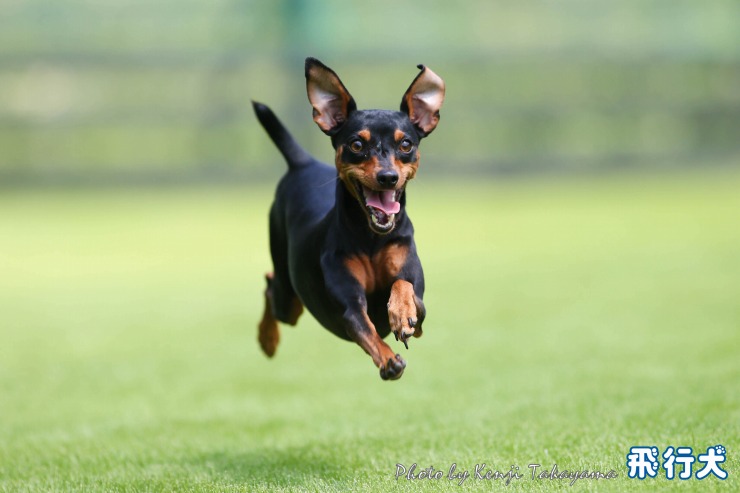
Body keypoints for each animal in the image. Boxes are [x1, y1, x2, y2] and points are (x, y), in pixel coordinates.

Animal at [253, 58, 446, 380]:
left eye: (406, 144)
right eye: (357, 144)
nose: (387, 177)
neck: (371, 238)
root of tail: (302, 163)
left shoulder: (419, 302)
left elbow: (403, 287)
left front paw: (400, 312)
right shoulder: (349, 306)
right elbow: (366, 330)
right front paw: (388, 360)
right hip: (287, 296)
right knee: (271, 286)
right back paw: (267, 339)